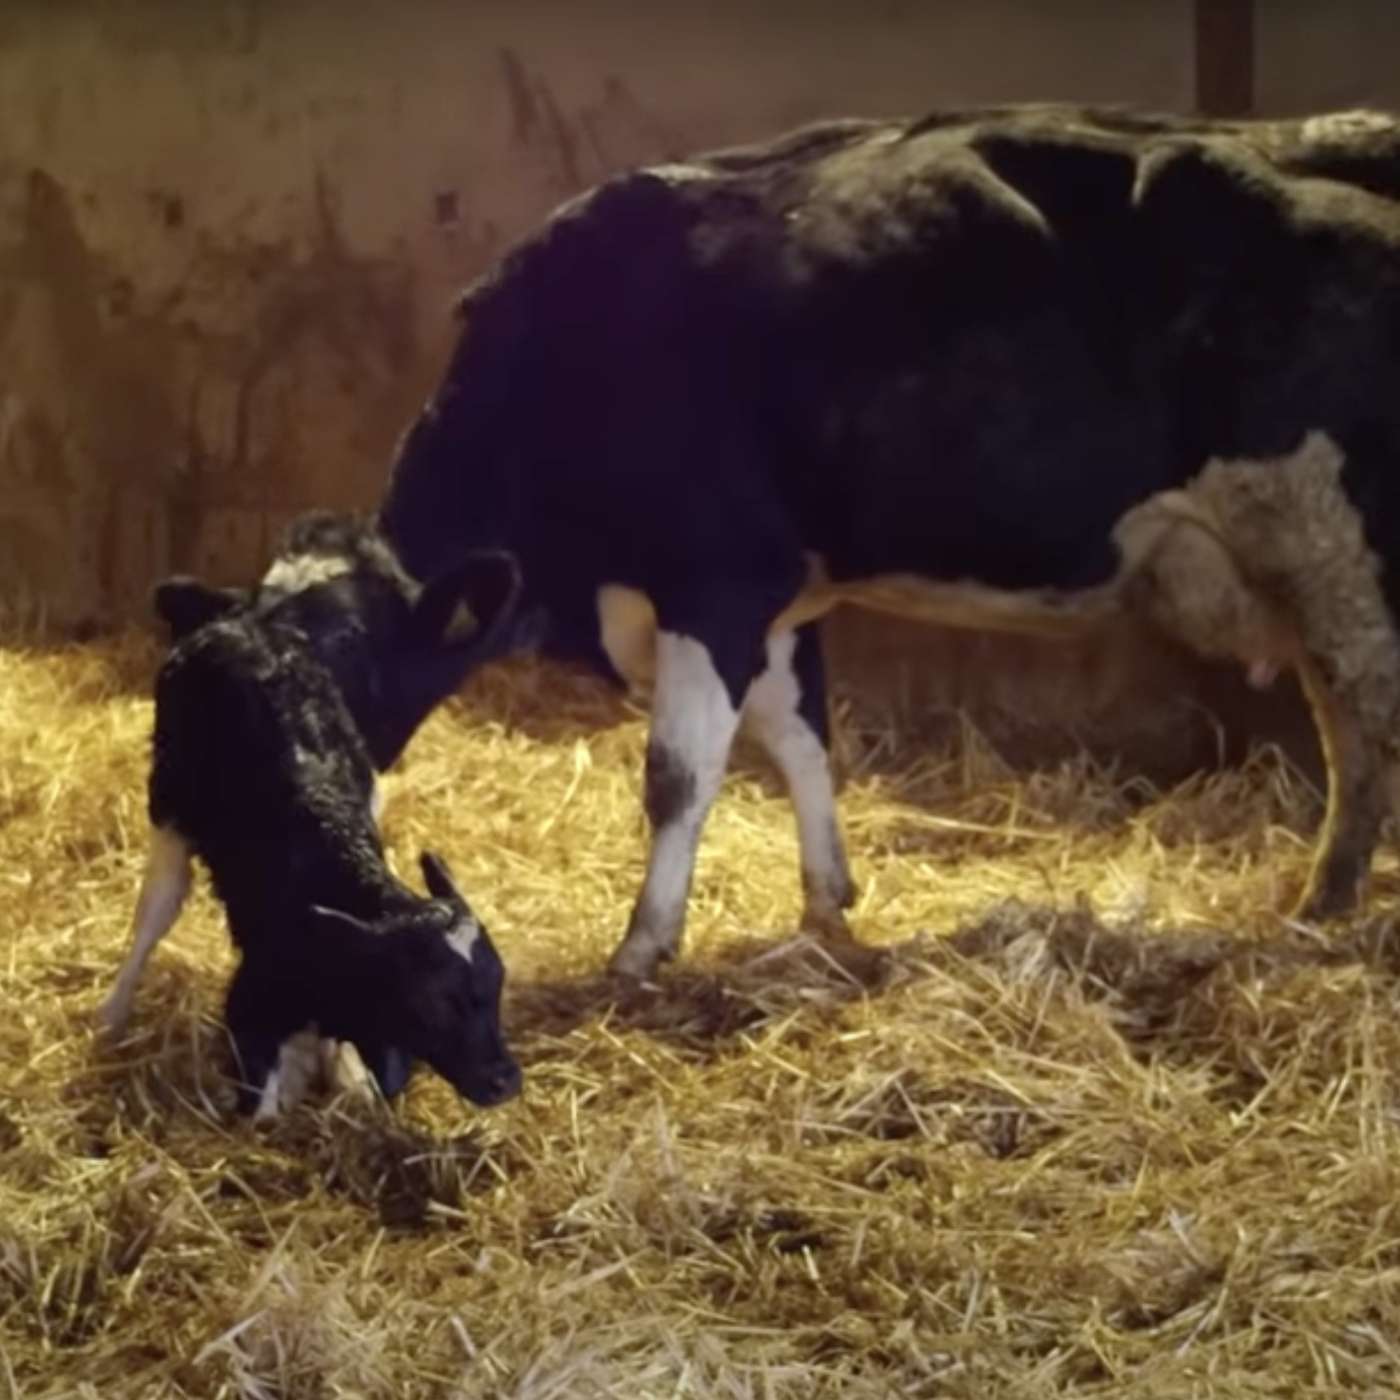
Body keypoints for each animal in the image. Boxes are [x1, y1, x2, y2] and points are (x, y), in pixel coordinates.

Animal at [369, 103, 1400, 979]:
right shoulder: (779, 597)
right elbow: (800, 738)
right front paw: (827, 901)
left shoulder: (717, 579)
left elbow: (678, 773)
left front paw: (641, 947)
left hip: (1333, 549)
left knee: (1365, 729)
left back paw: (1326, 904)